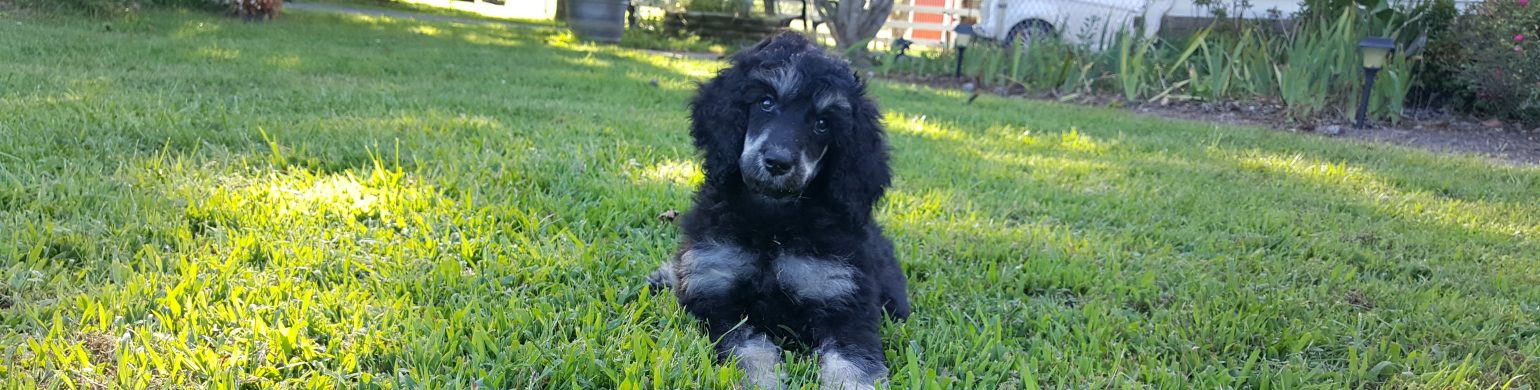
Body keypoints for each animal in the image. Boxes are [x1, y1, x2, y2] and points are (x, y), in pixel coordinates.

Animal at [649, 31, 911, 390]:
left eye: (822, 123)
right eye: (766, 103)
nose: (777, 162)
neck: (774, 223)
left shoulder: (844, 298)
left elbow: (853, 362)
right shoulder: (717, 292)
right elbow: (749, 349)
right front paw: (761, 380)